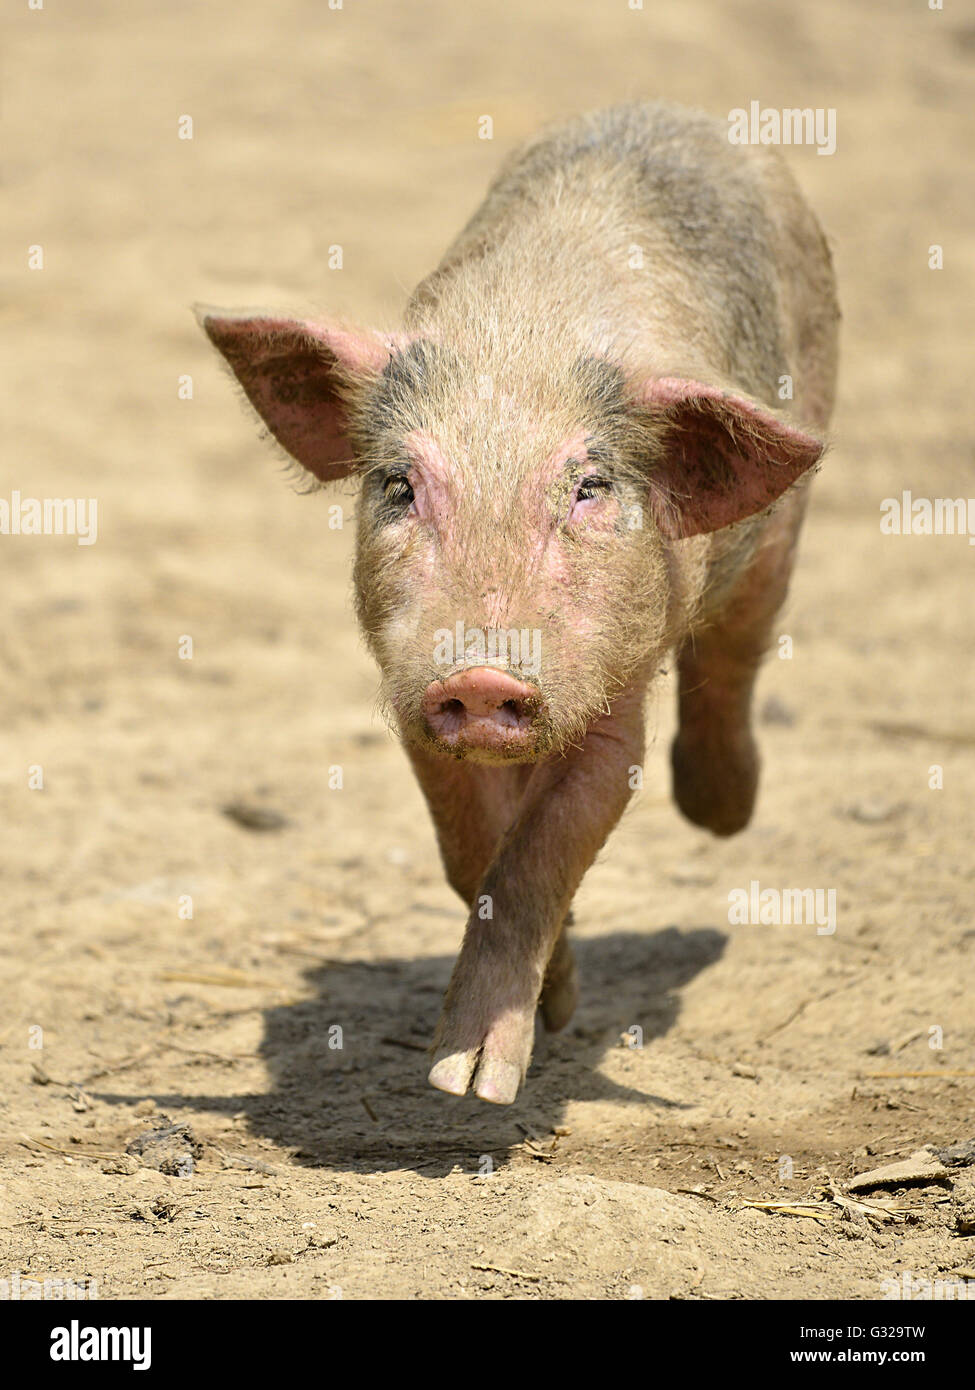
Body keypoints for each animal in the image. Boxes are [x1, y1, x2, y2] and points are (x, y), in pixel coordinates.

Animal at [197, 102, 834, 1106]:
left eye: (588, 487)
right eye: (398, 484)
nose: (484, 673)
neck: (519, 337)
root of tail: (676, 110)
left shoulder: (612, 698)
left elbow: (541, 851)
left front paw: (473, 1088)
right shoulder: (415, 697)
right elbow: (474, 853)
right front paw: (545, 1018)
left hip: (783, 512)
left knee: (738, 646)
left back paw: (720, 812)